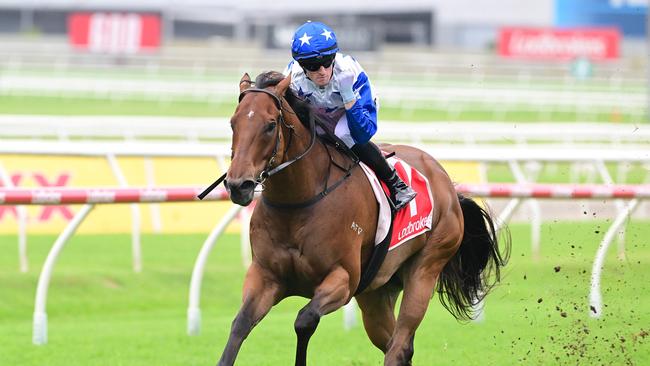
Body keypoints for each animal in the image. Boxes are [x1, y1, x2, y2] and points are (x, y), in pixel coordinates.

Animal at [218, 71, 506, 366]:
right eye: (233, 123)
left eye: (270, 125)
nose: (238, 185)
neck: (298, 202)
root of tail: (445, 181)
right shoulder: (265, 275)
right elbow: (240, 324)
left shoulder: (343, 279)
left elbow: (304, 320)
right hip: (376, 292)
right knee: (395, 344)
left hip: (426, 268)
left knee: (399, 345)